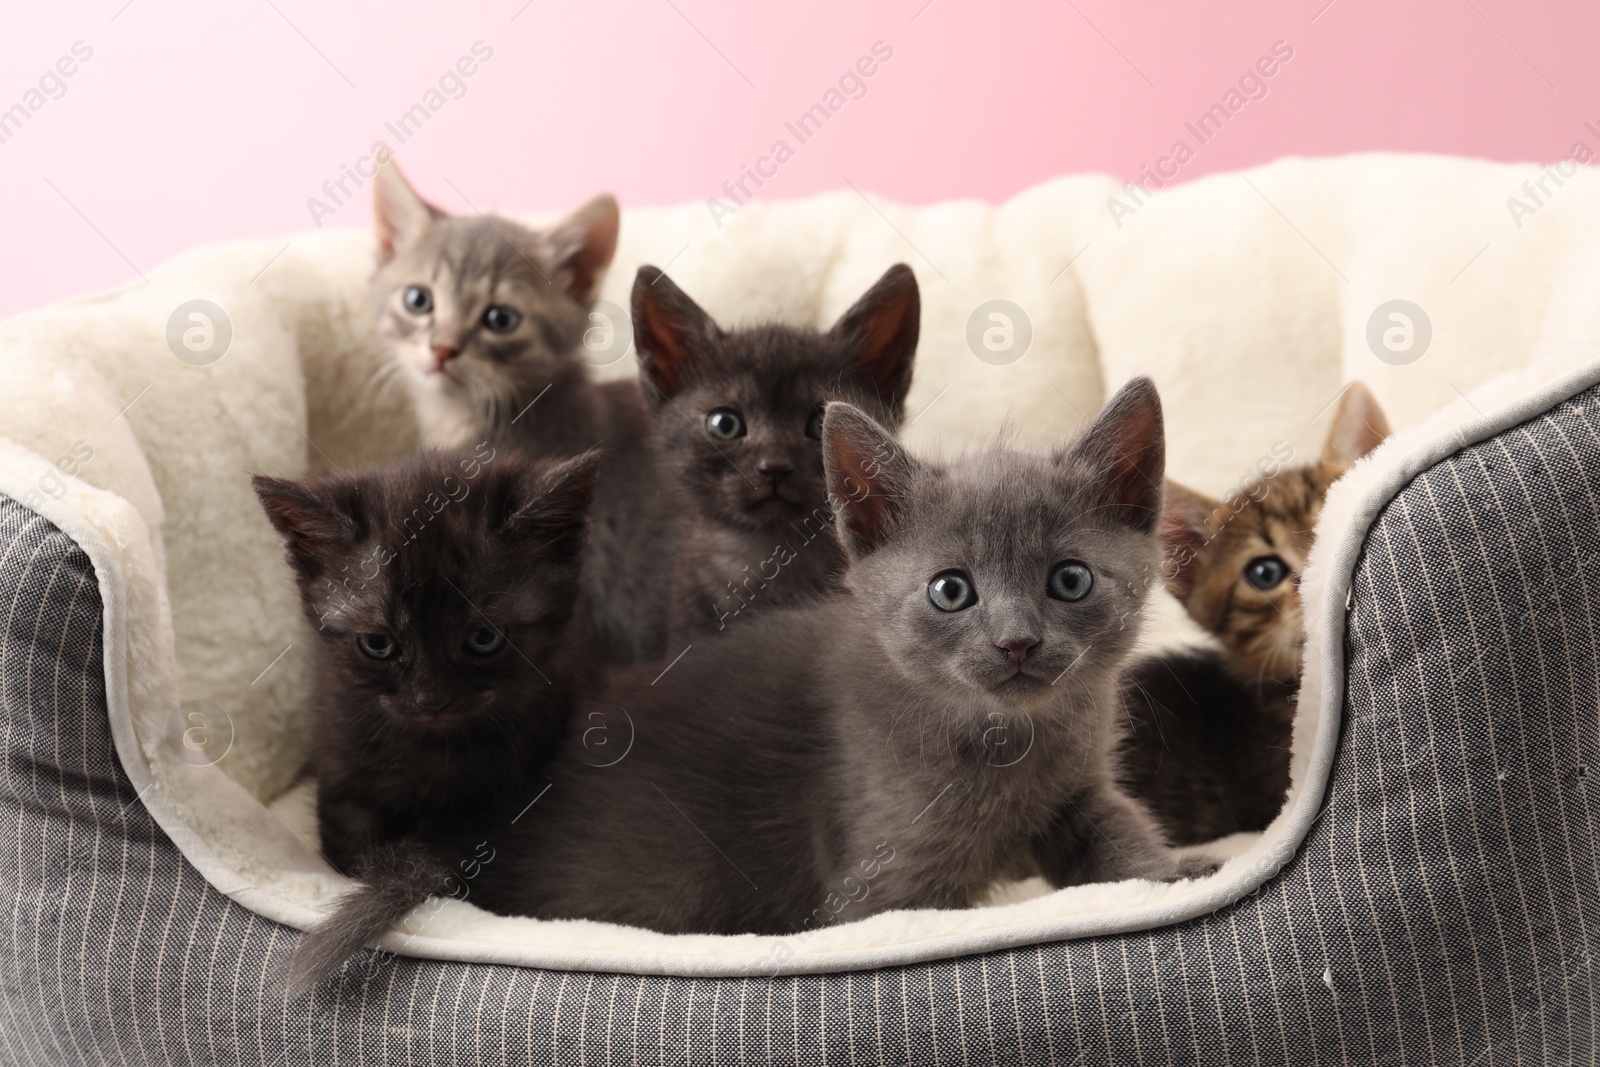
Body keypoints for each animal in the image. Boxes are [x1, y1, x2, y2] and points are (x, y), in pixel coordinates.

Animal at [252, 447, 598, 991]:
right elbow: (351, 851)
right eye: (377, 643)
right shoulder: (342, 771)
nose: (430, 699)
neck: (436, 748)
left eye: (484, 638)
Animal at [467, 377, 1203, 934]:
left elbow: (1122, 838)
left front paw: (1175, 872)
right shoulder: (886, 880)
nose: (1017, 640)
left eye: (1070, 580)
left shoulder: (1080, 792)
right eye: (951, 590)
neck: (1007, 738)